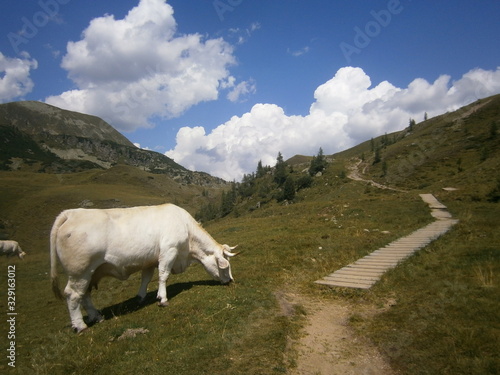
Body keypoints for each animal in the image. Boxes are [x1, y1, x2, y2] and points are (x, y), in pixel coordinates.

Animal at [50, 204, 238, 334]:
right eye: (226, 266)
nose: (230, 280)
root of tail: (72, 213)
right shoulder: (169, 251)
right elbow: (163, 275)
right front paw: (162, 299)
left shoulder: (149, 261)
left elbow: (146, 279)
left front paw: (141, 297)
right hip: (79, 271)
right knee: (73, 295)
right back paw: (80, 325)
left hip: (89, 273)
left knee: (85, 295)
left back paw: (97, 316)